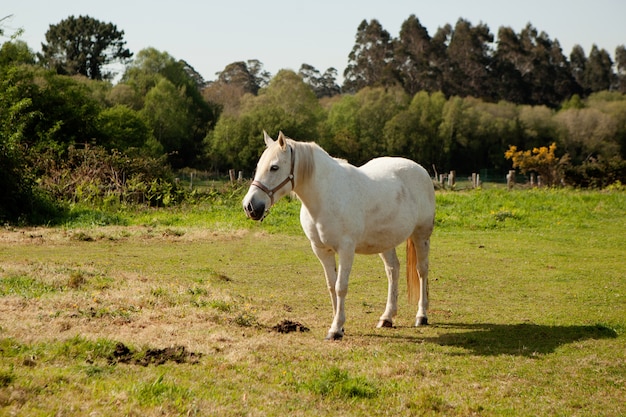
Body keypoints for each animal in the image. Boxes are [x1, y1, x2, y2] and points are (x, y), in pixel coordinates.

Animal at [243, 132, 434, 340]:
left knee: (421, 270)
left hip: (421, 235)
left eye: (274, 167)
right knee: (393, 270)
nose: (250, 206)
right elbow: (331, 286)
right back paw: (387, 318)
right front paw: (338, 326)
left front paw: (335, 330)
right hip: (386, 242)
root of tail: (420, 170)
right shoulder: (321, 250)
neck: (324, 198)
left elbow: (341, 287)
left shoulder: (346, 250)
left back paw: (421, 316)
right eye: (258, 167)